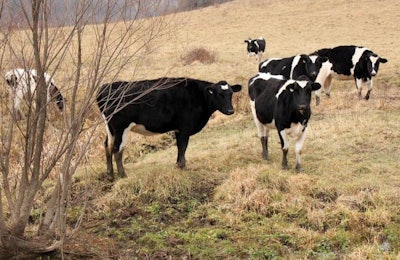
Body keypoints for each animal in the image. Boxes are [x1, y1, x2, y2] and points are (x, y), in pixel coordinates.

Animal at [95, 77, 242, 181]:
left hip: (111, 128)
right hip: (121, 128)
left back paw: (110, 175)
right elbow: (183, 146)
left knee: (107, 146)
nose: (231, 110)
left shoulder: (178, 129)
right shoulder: (185, 127)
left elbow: (179, 147)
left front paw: (178, 165)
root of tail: (106, 86)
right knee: (117, 149)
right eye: (218, 94)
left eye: (230, 94)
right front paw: (183, 167)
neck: (198, 96)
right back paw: (123, 175)